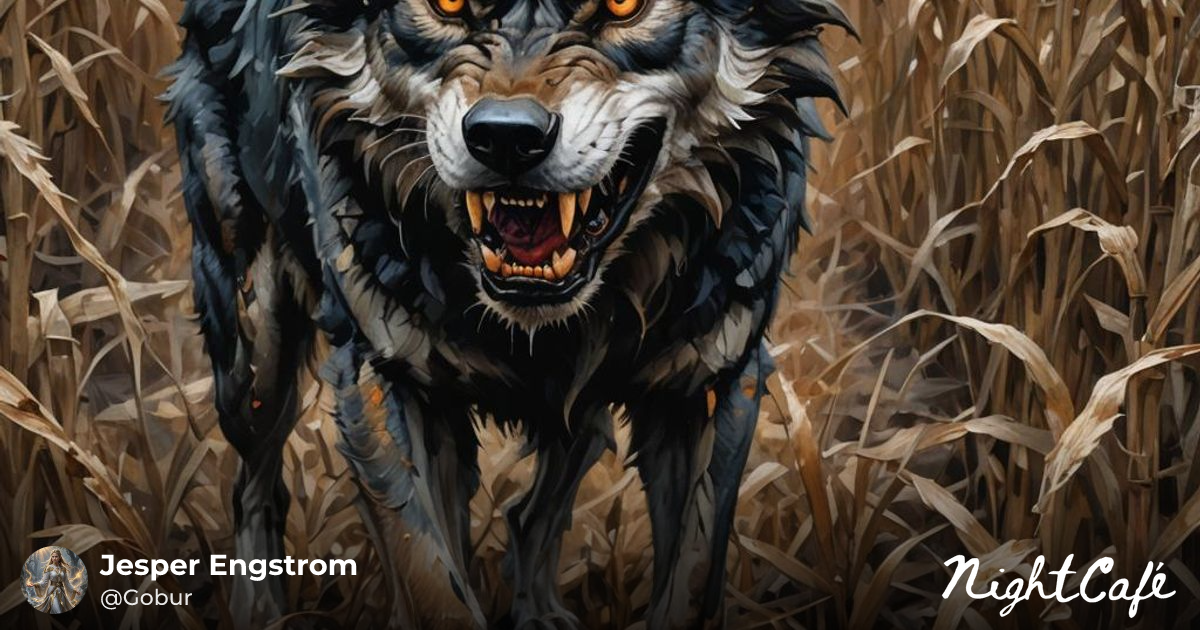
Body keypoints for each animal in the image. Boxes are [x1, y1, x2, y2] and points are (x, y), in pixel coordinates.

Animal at [167, 0, 847, 626]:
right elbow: (435, 586)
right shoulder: (384, 380)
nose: (506, 136)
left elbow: (693, 582)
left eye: (625, 6)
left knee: (530, 510)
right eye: (446, 5)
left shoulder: (711, 386)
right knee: (254, 483)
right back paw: (257, 610)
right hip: (254, 362)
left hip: (580, 408)